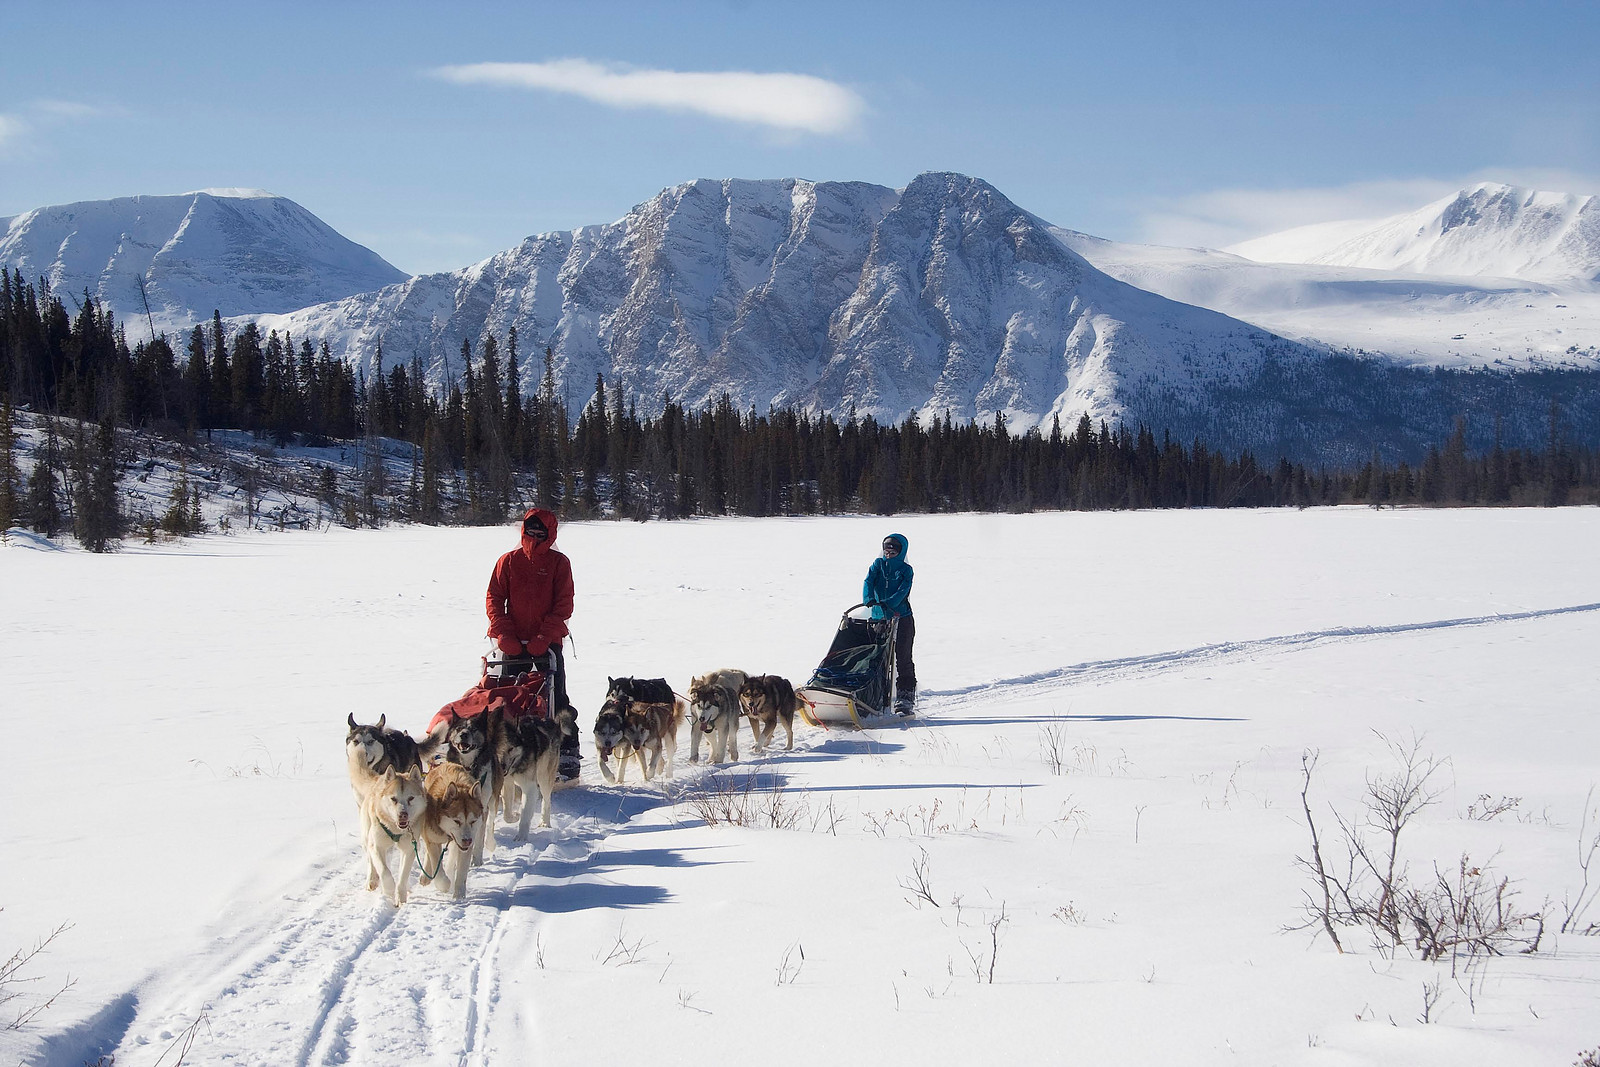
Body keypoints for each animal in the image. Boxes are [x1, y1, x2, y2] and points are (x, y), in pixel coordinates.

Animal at [360, 767, 428, 908]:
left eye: (411, 798)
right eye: (393, 799)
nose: (403, 814)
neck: (396, 830)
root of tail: (378, 778)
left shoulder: (409, 849)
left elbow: (403, 876)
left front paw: (400, 898)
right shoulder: (377, 846)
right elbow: (384, 872)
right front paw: (389, 890)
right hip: (367, 838)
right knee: (371, 861)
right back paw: (372, 879)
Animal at [416, 758, 483, 902]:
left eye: (473, 821)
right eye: (456, 821)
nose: (467, 840)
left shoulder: (465, 846)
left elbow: (462, 872)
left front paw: (459, 895)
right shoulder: (433, 841)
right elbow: (437, 869)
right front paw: (444, 884)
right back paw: (426, 876)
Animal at [499, 710, 582, 844]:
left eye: (510, 748)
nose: (501, 766)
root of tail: (554, 723)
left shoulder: (530, 788)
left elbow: (526, 814)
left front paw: (521, 837)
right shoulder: (507, 784)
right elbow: (507, 812)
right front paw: (515, 816)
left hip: (544, 778)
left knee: (546, 800)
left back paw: (545, 822)